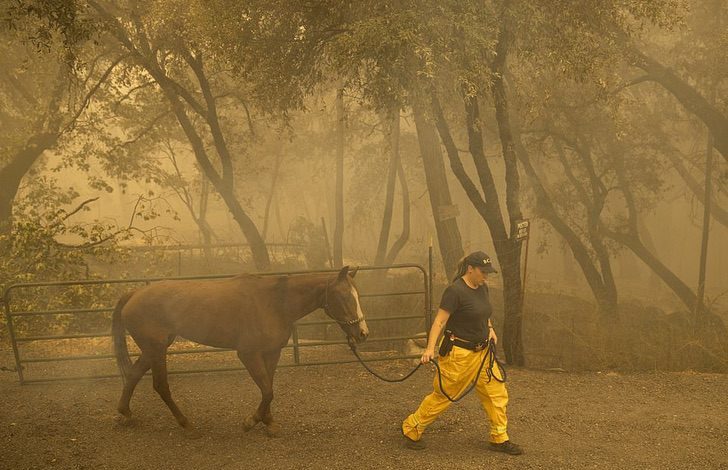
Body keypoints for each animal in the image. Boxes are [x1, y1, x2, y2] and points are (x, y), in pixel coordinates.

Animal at [111, 264, 370, 436]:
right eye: (344, 296)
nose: (362, 333)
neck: (274, 303)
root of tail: (133, 294)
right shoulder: (248, 354)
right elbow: (267, 391)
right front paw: (251, 421)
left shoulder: (271, 352)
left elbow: (268, 388)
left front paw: (268, 422)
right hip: (156, 350)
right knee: (161, 385)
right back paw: (186, 424)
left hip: (154, 348)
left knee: (133, 375)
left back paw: (126, 413)